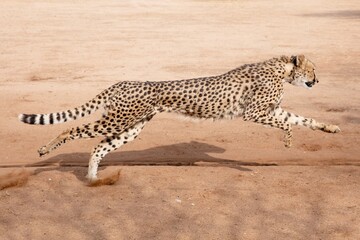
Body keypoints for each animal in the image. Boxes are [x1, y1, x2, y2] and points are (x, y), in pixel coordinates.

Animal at [19, 54, 340, 184]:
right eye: (312, 69)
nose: (318, 80)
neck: (281, 69)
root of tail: (120, 82)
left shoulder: (272, 110)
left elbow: (303, 119)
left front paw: (331, 127)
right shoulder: (255, 113)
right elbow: (288, 124)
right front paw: (287, 142)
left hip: (130, 128)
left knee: (98, 147)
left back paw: (93, 178)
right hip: (118, 120)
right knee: (72, 129)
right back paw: (45, 150)